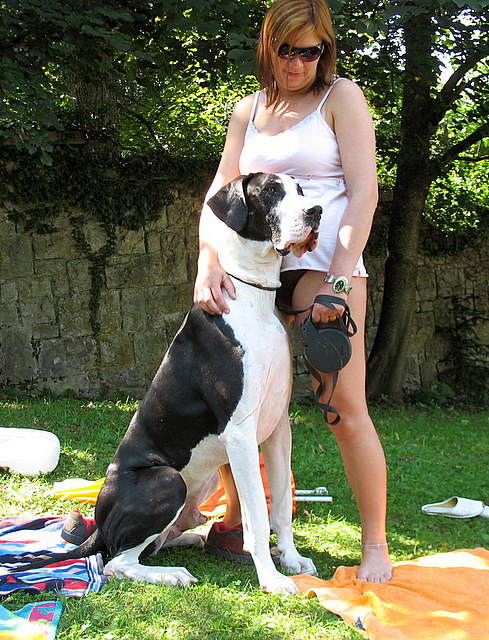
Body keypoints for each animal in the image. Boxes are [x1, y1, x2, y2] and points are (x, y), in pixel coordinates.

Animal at [18, 172, 321, 595]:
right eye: (272, 191)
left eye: (300, 190)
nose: (316, 211)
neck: (254, 299)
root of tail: (100, 524)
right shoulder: (241, 433)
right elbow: (257, 519)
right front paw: (272, 580)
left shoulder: (278, 428)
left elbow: (278, 506)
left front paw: (291, 560)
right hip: (168, 479)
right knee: (117, 561)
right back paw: (169, 573)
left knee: (153, 543)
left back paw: (190, 539)